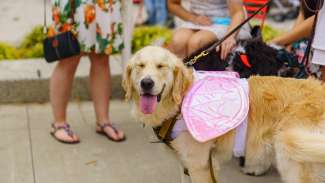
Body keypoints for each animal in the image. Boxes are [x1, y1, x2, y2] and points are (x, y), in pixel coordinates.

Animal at [122, 46, 325, 183]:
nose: (146, 83)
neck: (179, 104)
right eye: (140, 66)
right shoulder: (184, 162)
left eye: (161, 66)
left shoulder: (199, 165)